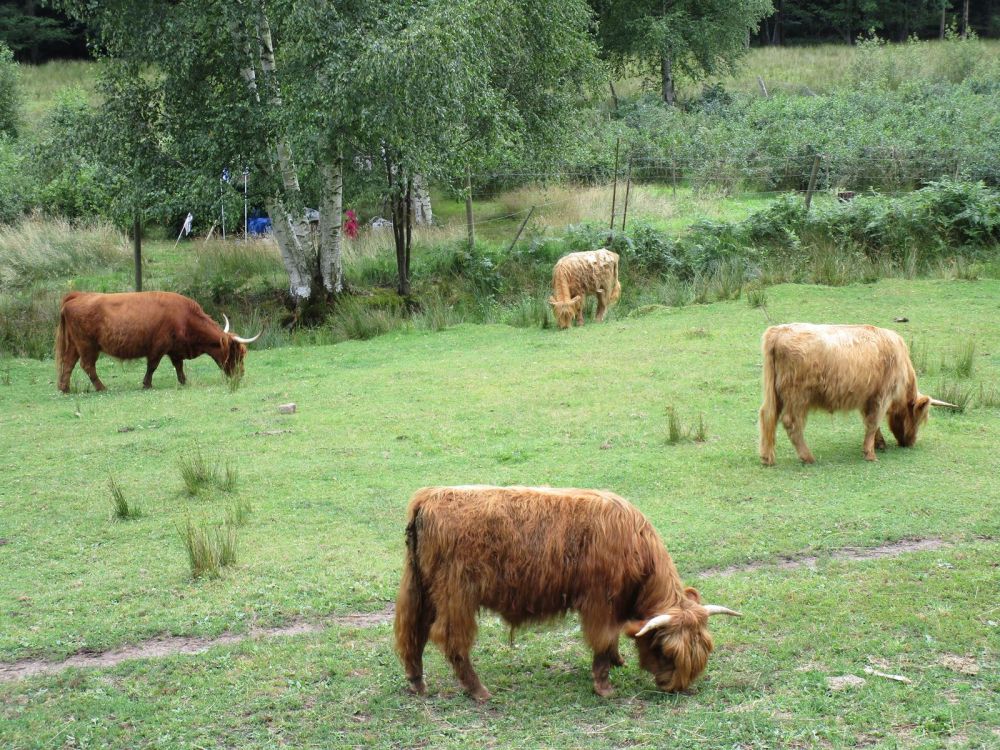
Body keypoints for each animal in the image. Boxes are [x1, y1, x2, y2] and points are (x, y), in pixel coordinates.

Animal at [55, 291, 260, 393]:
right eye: (237, 353)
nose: (240, 374)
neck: (186, 318)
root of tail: (77, 295)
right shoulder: (159, 346)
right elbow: (152, 366)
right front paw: (147, 384)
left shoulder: (175, 349)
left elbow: (179, 366)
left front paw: (183, 381)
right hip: (87, 345)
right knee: (87, 366)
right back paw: (101, 388)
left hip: (75, 345)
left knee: (69, 364)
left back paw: (65, 388)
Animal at [394, 485, 741, 701]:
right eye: (667, 652)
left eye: (703, 652)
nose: (674, 688)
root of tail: (429, 497)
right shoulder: (600, 602)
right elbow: (603, 639)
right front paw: (604, 686)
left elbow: (613, 639)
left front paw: (617, 661)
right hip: (457, 594)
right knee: (452, 640)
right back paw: (478, 690)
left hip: (420, 589)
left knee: (413, 632)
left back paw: (417, 682)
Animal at [759, 323, 957, 465]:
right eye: (917, 418)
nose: (910, 442)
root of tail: (778, 331)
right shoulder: (882, 395)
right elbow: (873, 422)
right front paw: (870, 454)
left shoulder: (868, 399)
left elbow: (870, 422)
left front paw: (879, 443)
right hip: (798, 396)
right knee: (791, 422)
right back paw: (808, 457)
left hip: (775, 394)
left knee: (767, 415)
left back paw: (767, 457)